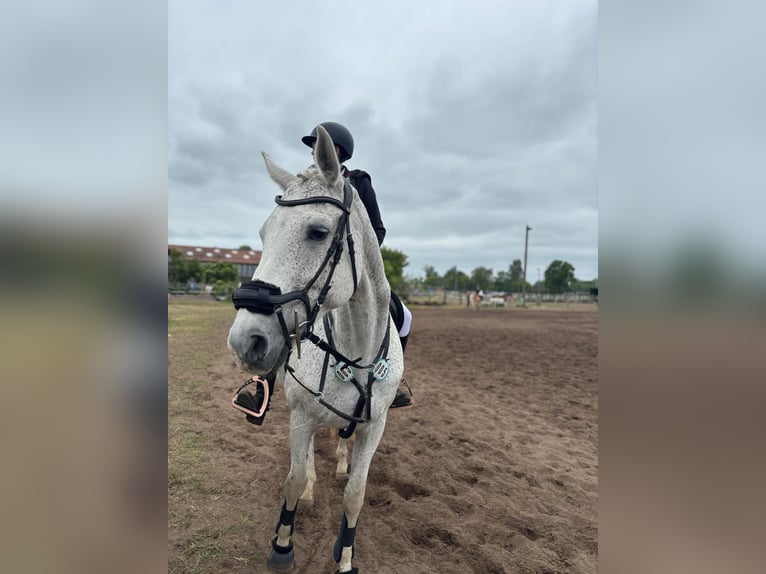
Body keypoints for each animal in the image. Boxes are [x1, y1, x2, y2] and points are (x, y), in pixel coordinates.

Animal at [227, 125, 403, 574]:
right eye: (263, 234)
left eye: (318, 232)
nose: (244, 339)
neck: (355, 352)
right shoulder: (302, 415)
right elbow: (292, 480)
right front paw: (282, 545)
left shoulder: (375, 425)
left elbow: (355, 495)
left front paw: (345, 558)